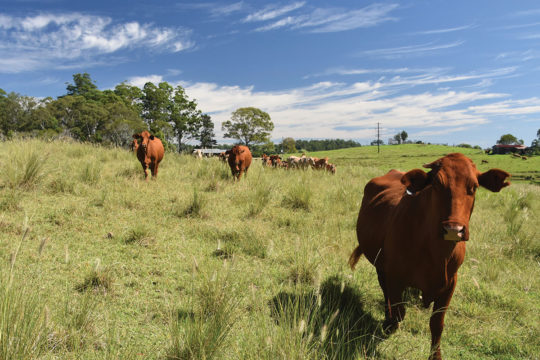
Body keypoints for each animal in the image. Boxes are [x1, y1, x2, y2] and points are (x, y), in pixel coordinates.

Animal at [348, 153, 508, 360]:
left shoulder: (450, 283)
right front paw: (390, 323)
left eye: (474, 186)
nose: (453, 229)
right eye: (437, 184)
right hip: (380, 266)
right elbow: (399, 310)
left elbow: (437, 324)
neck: (436, 253)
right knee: (385, 293)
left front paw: (435, 355)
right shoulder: (394, 277)